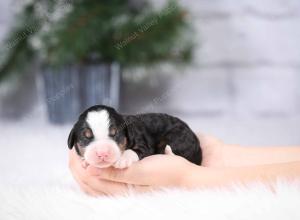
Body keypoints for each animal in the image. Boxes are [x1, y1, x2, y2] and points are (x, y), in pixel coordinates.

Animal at [68, 105, 202, 168]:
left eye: (115, 133)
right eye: (86, 136)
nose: (103, 153)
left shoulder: (143, 143)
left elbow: (135, 150)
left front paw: (122, 159)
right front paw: (86, 161)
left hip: (177, 138)